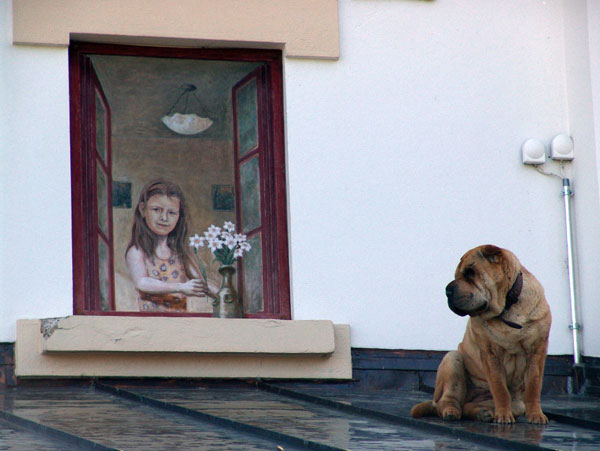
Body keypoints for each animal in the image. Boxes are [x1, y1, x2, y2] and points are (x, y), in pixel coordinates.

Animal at [410, 245, 552, 426]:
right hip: (453, 360)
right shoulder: (491, 353)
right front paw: (503, 415)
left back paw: (483, 413)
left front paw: (536, 415)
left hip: (514, 403)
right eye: (456, 275)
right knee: (447, 401)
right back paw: (452, 412)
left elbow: (534, 386)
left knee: (468, 407)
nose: (447, 290)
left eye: (470, 273)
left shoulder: (537, 351)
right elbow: (500, 388)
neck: (507, 307)